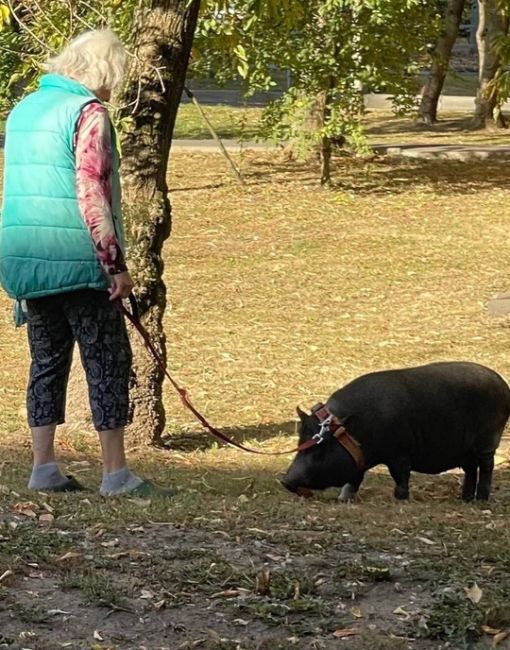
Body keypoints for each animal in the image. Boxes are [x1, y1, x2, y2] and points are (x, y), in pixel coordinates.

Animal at [282, 362, 510, 498]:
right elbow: (354, 479)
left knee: (486, 467)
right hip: (466, 451)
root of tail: (502, 383)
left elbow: (400, 474)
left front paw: (400, 498)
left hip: (488, 441)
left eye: (320, 450)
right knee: (471, 469)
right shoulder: (361, 460)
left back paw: (481, 499)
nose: (285, 480)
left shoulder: (399, 452)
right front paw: (343, 499)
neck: (356, 433)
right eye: (300, 443)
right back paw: (464, 499)